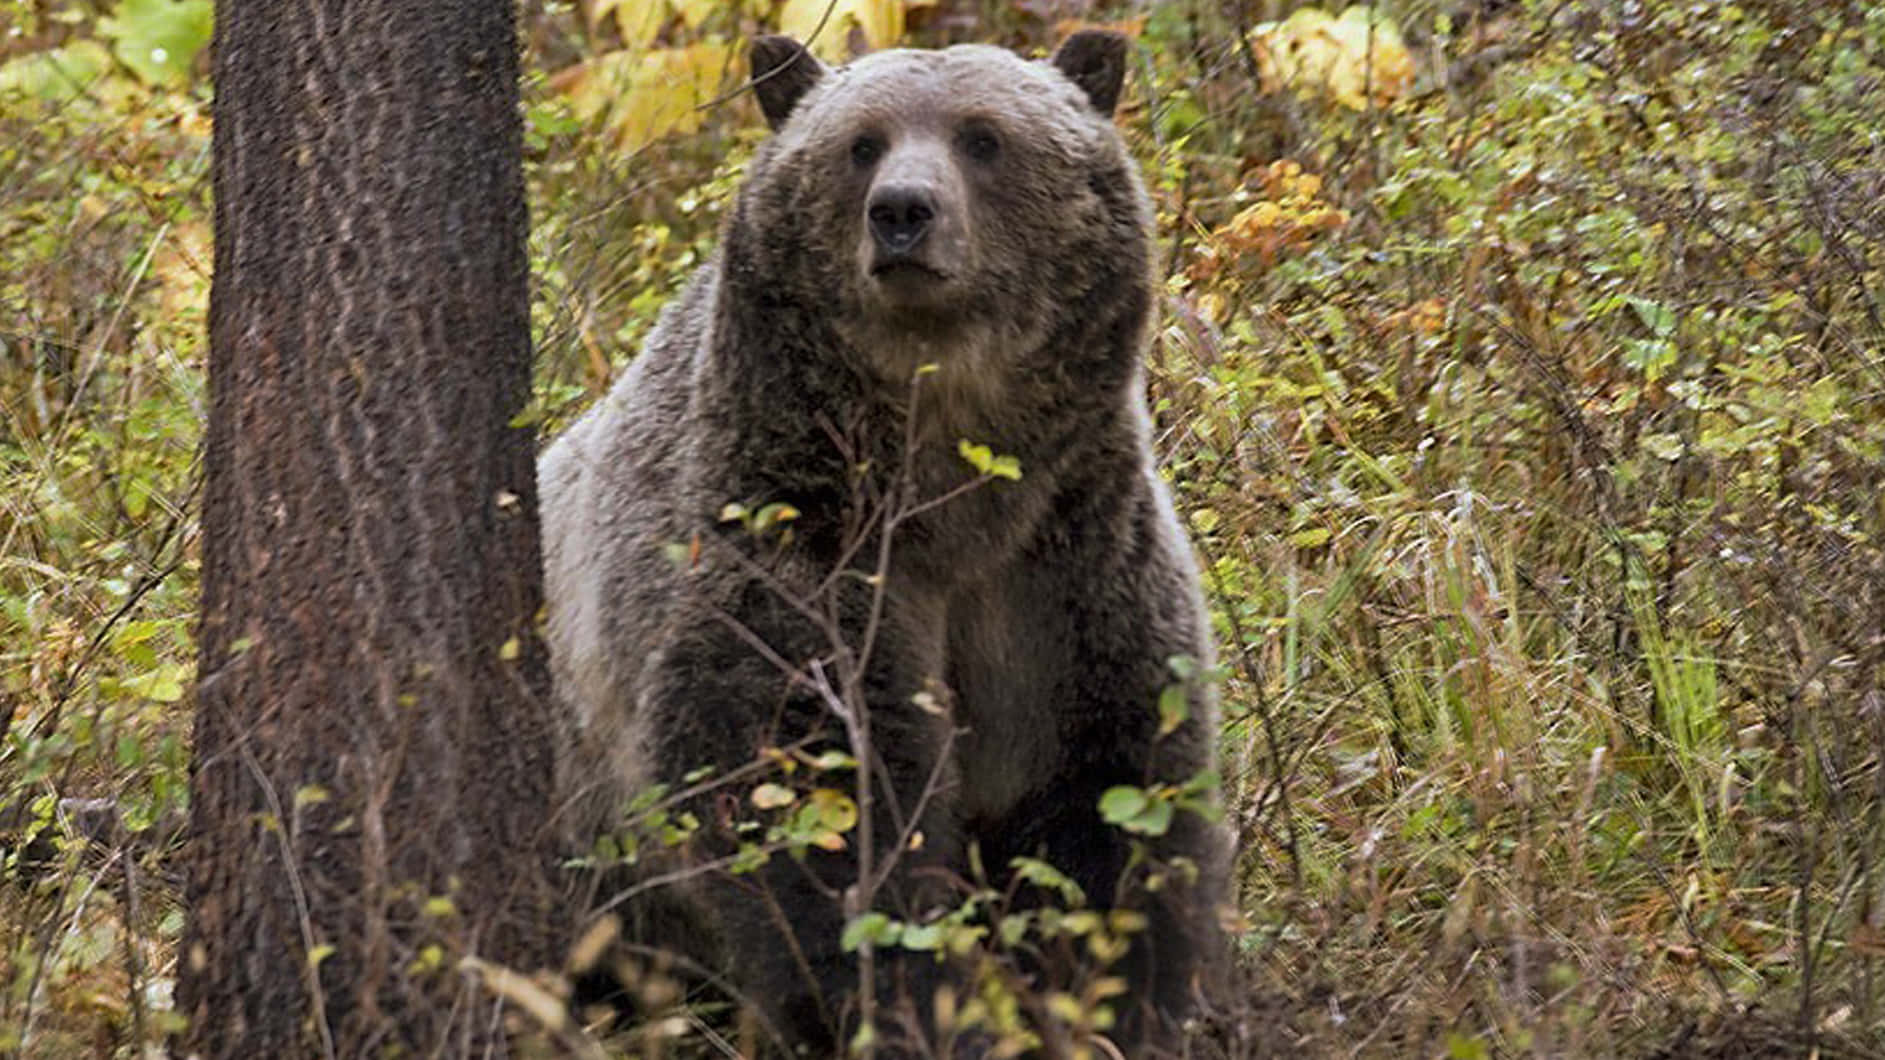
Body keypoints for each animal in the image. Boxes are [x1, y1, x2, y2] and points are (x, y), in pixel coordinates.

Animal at [540, 30, 1225, 1057]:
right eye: (860, 143)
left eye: (982, 136)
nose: (903, 212)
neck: (947, 484)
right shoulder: (792, 541)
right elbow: (817, 803)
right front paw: (902, 1002)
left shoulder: (1066, 565)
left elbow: (1112, 794)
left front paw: (1118, 999)